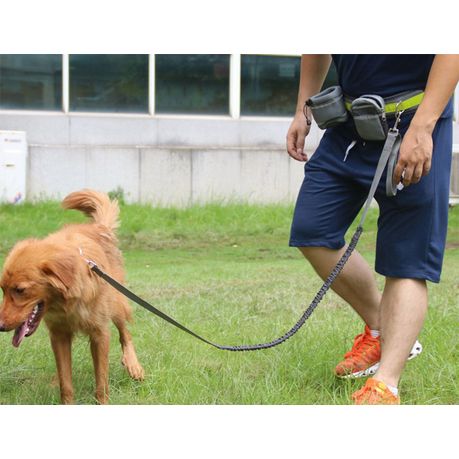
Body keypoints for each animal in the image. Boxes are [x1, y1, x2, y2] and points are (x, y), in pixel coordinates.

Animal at [0, 189, 144, 404]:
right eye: (2, 289)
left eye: (20, 290)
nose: (0, 327)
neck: (66, 304)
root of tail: (98, 227)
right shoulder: (59, 335)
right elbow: (65, 383)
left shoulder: (100, 334)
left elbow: (101, 382)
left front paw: (103, 402)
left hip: (116, 301)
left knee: (125, 332)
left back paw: (134, 365)